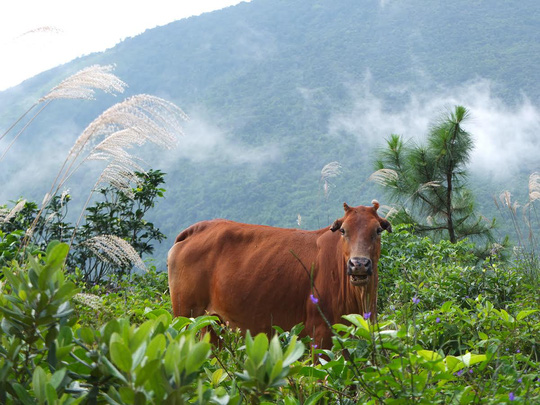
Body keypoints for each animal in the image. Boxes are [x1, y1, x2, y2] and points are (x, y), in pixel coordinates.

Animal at [167, 200, 390, 346]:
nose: (358, 264)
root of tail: (196, 229)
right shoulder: (320, 333)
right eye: (343, 230)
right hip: (184, 317)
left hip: (212, 325)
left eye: (378, 230)